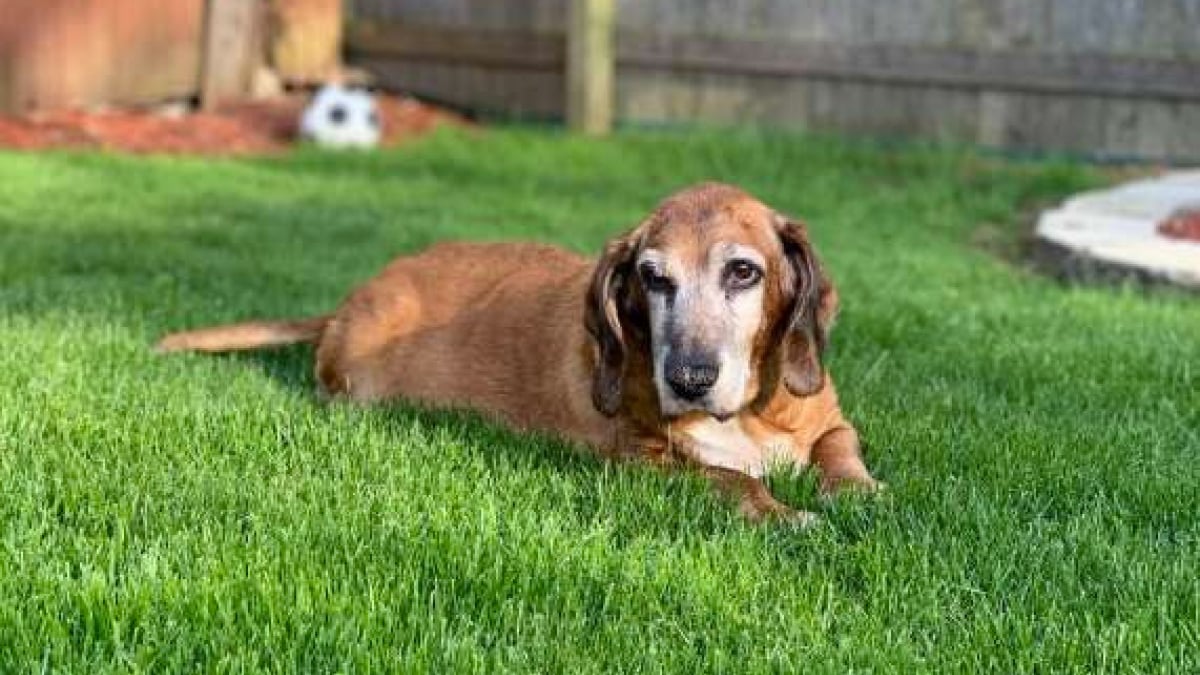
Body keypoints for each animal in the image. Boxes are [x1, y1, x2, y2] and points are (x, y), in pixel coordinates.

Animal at [154, 182, 878, 521]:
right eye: (653, 278)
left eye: (743, 272)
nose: (690, 378)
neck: (748, 414)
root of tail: (348, 301)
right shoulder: (640, 463)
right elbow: (730, 479)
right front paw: (785, 513)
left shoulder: (832, 421)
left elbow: (840, 451)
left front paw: (856, 491)